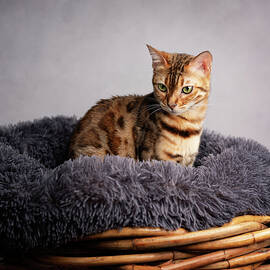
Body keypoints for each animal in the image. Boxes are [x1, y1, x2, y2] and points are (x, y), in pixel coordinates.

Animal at [69, 44, 213, 167]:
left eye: (187, 89)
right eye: (162, 87)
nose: (171, 104)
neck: (189, 126)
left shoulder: (189, 162)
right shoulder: (158, 159)